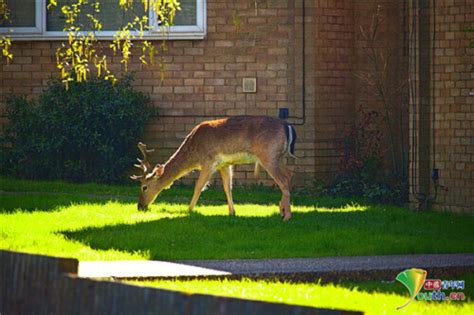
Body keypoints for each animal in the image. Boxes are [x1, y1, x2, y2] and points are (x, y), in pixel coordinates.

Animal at [130, 115, 296, 221]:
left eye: (144, 187)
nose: (140, 206)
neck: (194, 152)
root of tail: (287, 126)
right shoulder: (225, 164)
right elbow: (227, 187)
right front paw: (232, 212)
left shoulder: (208, 161)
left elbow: (199, 186)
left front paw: (188, 210)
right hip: (279, 157)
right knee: (289, 175)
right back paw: (282, 210)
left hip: (268, 155)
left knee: (283, 180)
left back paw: (287, 216)